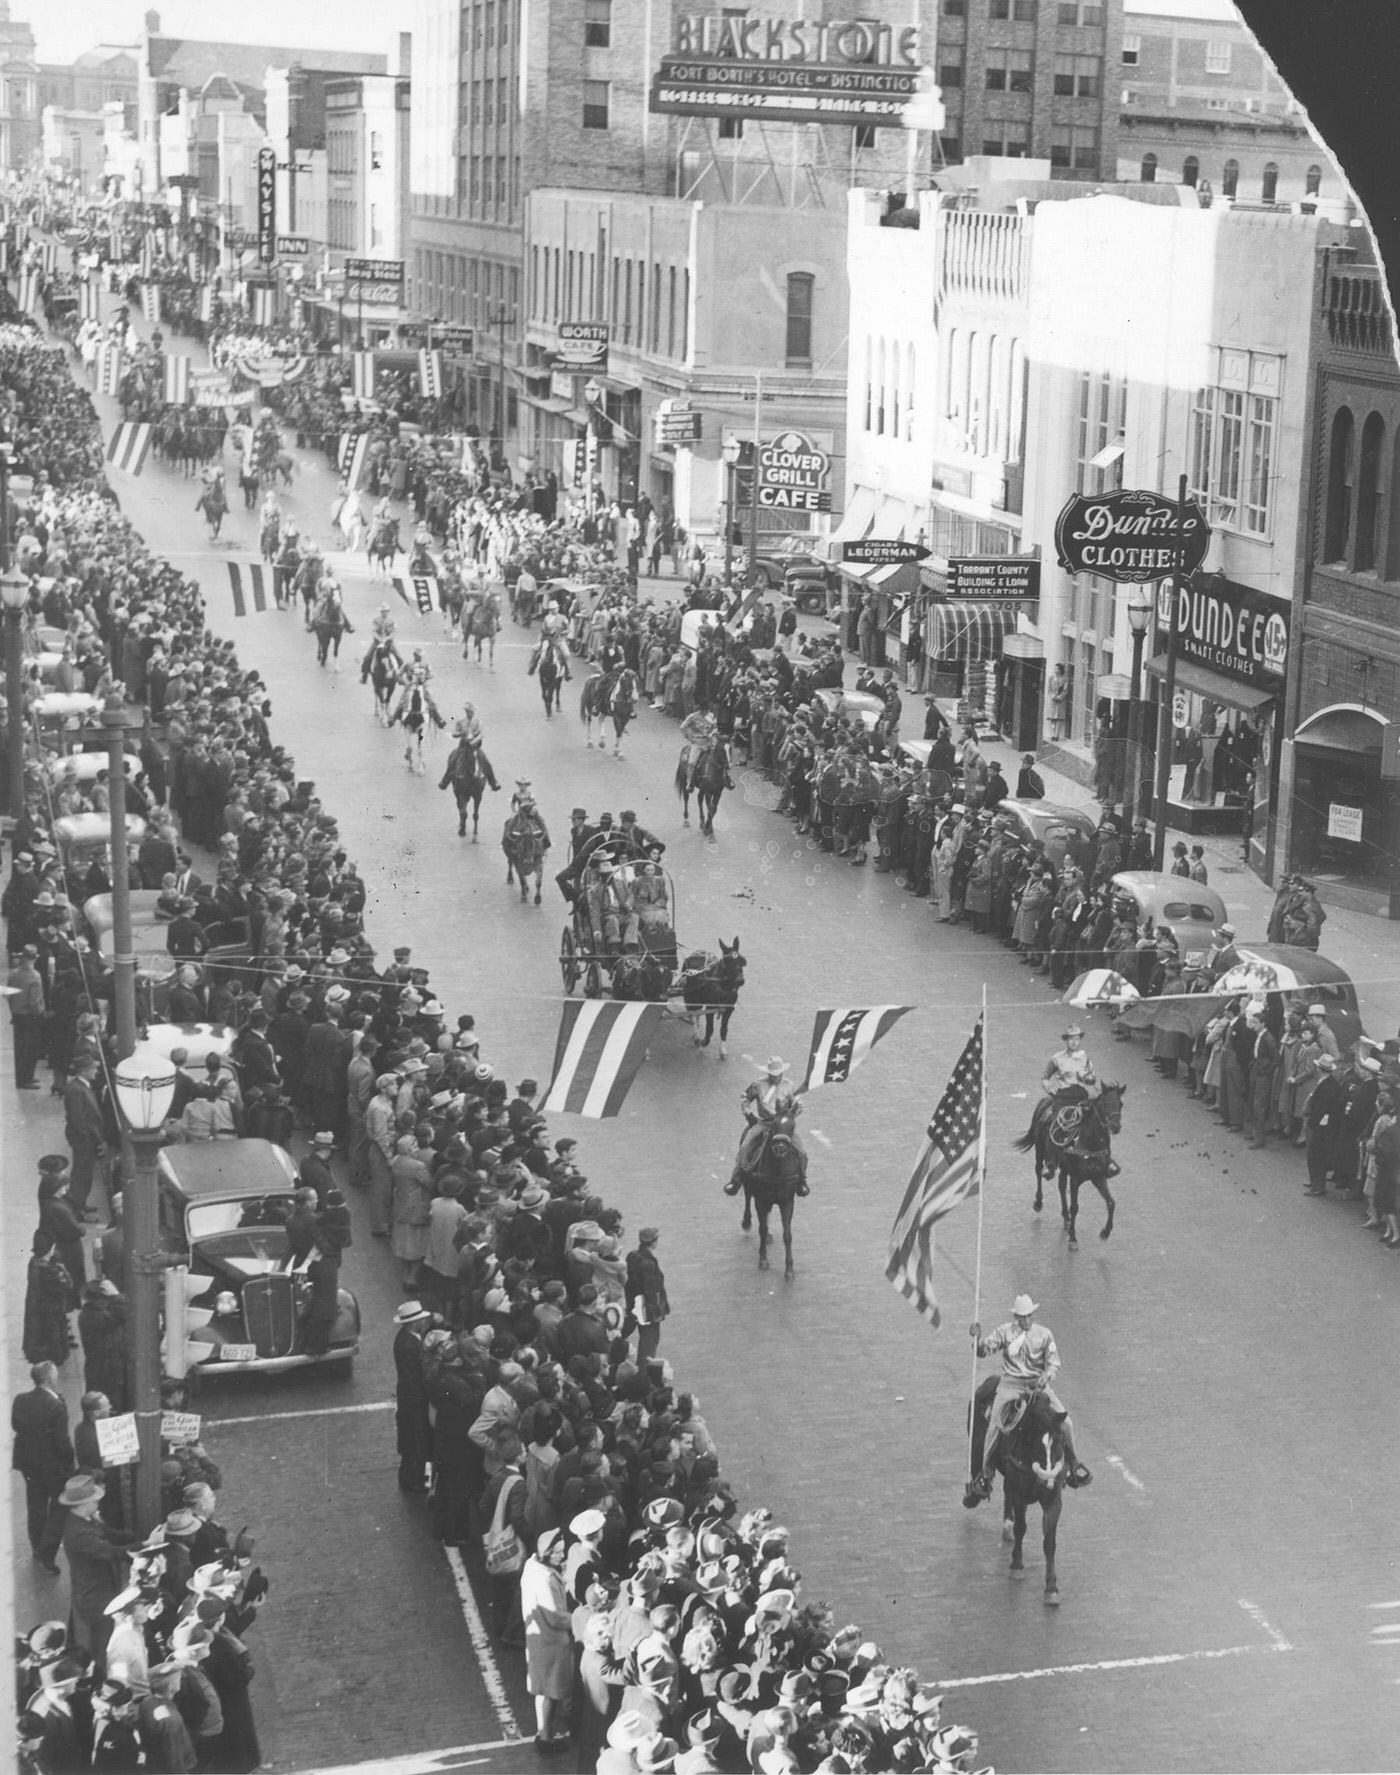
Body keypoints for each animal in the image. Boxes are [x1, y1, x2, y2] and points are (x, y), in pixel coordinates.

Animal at [965, 1370, 1064, 1611]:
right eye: (1036, 1441)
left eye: (1058, 1440)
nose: (1046, 1480)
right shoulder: (1020, 1496)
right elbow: (1022, 1528)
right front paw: (1016, 1566)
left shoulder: (1054, 1500)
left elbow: (1049, 1542)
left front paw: (1051, 1589)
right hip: (977, 1450)